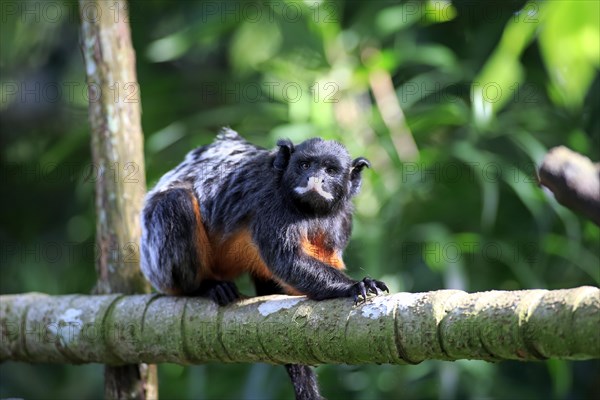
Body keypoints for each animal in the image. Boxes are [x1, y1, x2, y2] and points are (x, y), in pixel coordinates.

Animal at [140, 130, 386, 398]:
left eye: (330, 170)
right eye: (305, 165)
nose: (314, 178)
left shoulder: (343, 220)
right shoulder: (271, 203)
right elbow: (286, 260)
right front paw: (353, 286)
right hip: (157, 260)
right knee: (176, 201)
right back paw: (203, 288)